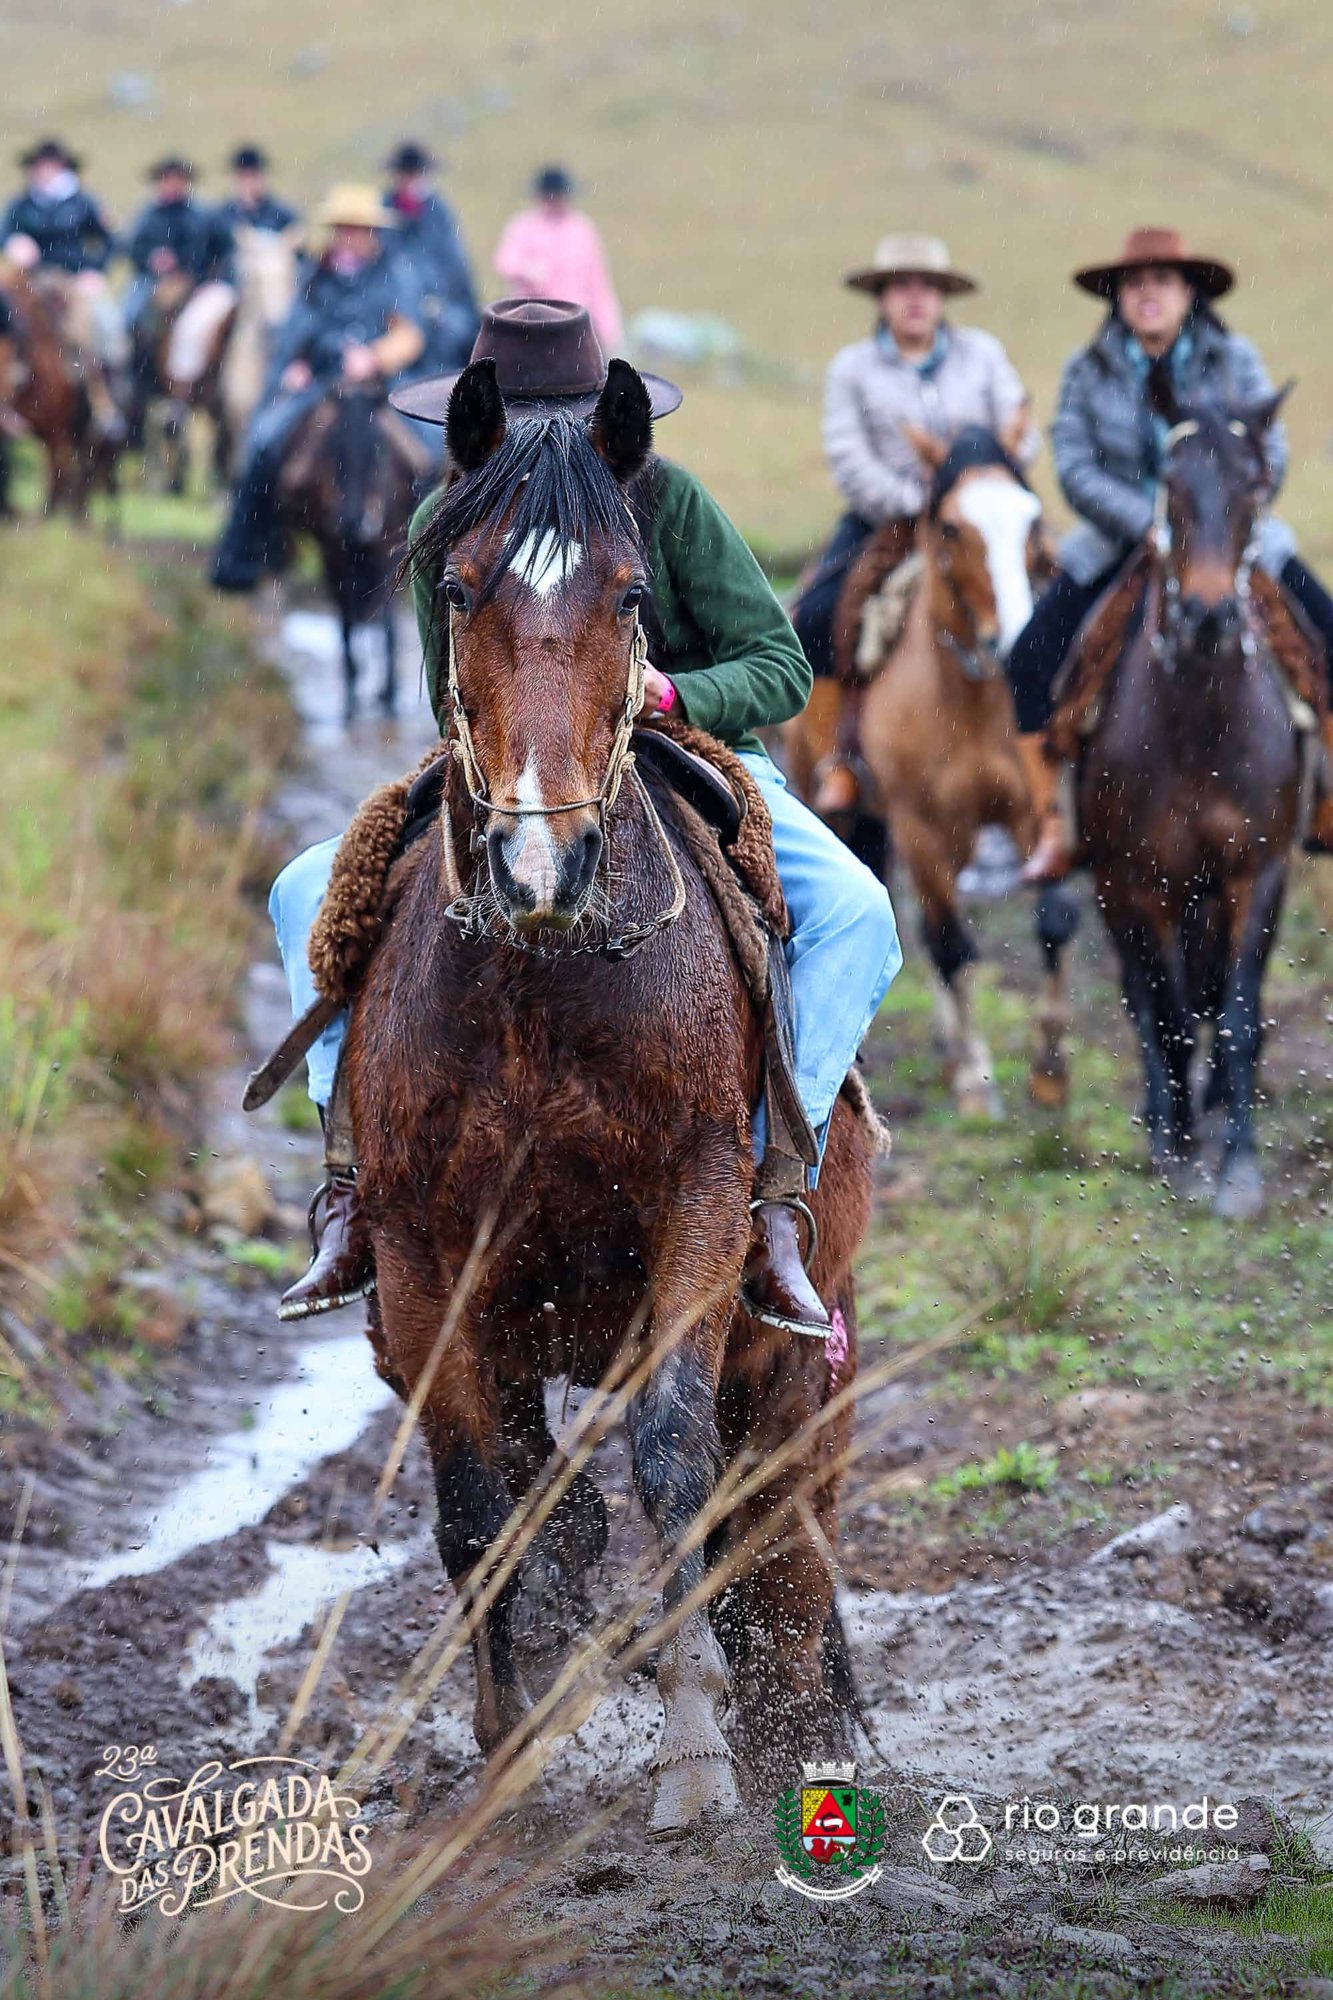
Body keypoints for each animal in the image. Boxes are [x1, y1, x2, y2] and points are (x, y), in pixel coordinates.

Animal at [274, 383, 418, 719]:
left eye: (378, 449)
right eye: (333, 448)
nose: (354, 523)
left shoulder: (389, 550)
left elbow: (388, 622)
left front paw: (390, 693)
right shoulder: (332, 553)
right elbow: (346, 620)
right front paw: (352, 697)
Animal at [794, 426, 1079, 1118]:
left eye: (1032, 519)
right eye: (950, 526)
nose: (1018, 639)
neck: (970, 697)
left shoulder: (1033, 815)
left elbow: (1054, 920)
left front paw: (1050, 1069)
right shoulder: (922, 828)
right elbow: (950, 943)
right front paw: (975, 1080)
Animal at [1078, 373, 1301, 1219]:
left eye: (1252, 487)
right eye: (1169, 486)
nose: (1208, 615)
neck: (1202, 726)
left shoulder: (1256, 873)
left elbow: (1234, 1013)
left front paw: (1237, 1167)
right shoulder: (1145, 881)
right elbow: (1168, 1011)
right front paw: (1178, 1151)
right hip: (1110, 889)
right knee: (1144, 997)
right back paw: (1163, 1114)